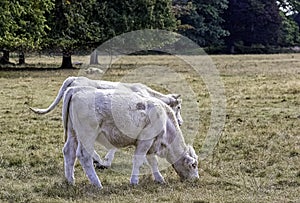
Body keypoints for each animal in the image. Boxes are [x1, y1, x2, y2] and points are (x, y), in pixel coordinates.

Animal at [62, 85, 199, 187]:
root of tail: (76, 90)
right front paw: (134, 181)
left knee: (69, 152)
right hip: (87, 136)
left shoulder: (152, 145)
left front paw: (159, 179)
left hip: (72, 133)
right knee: (84, 156)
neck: (165, 120)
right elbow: (138, 160)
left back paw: (70, 181)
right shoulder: (145, 141)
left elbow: (153, 162)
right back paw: (97, 183)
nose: (196, 179)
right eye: (193, 165)